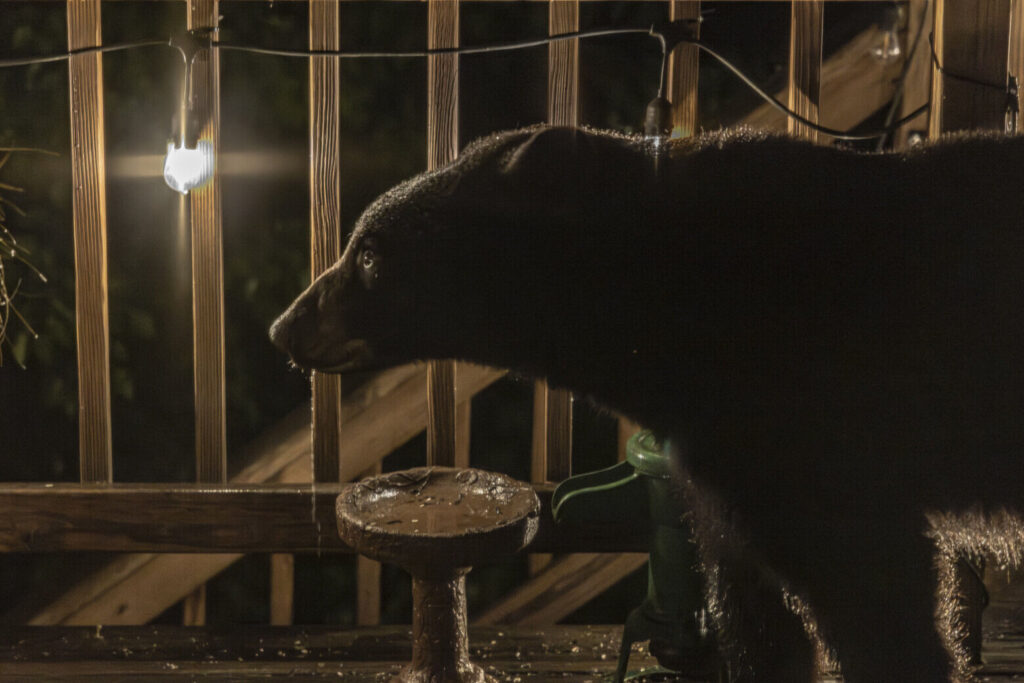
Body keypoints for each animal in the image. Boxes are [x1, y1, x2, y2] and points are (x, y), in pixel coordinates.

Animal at [271, 125, 1024, 683]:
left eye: (370, 255)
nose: (284, 327)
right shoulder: (727, 464)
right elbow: (753, 605)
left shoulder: (812, 426)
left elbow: (879, 594)